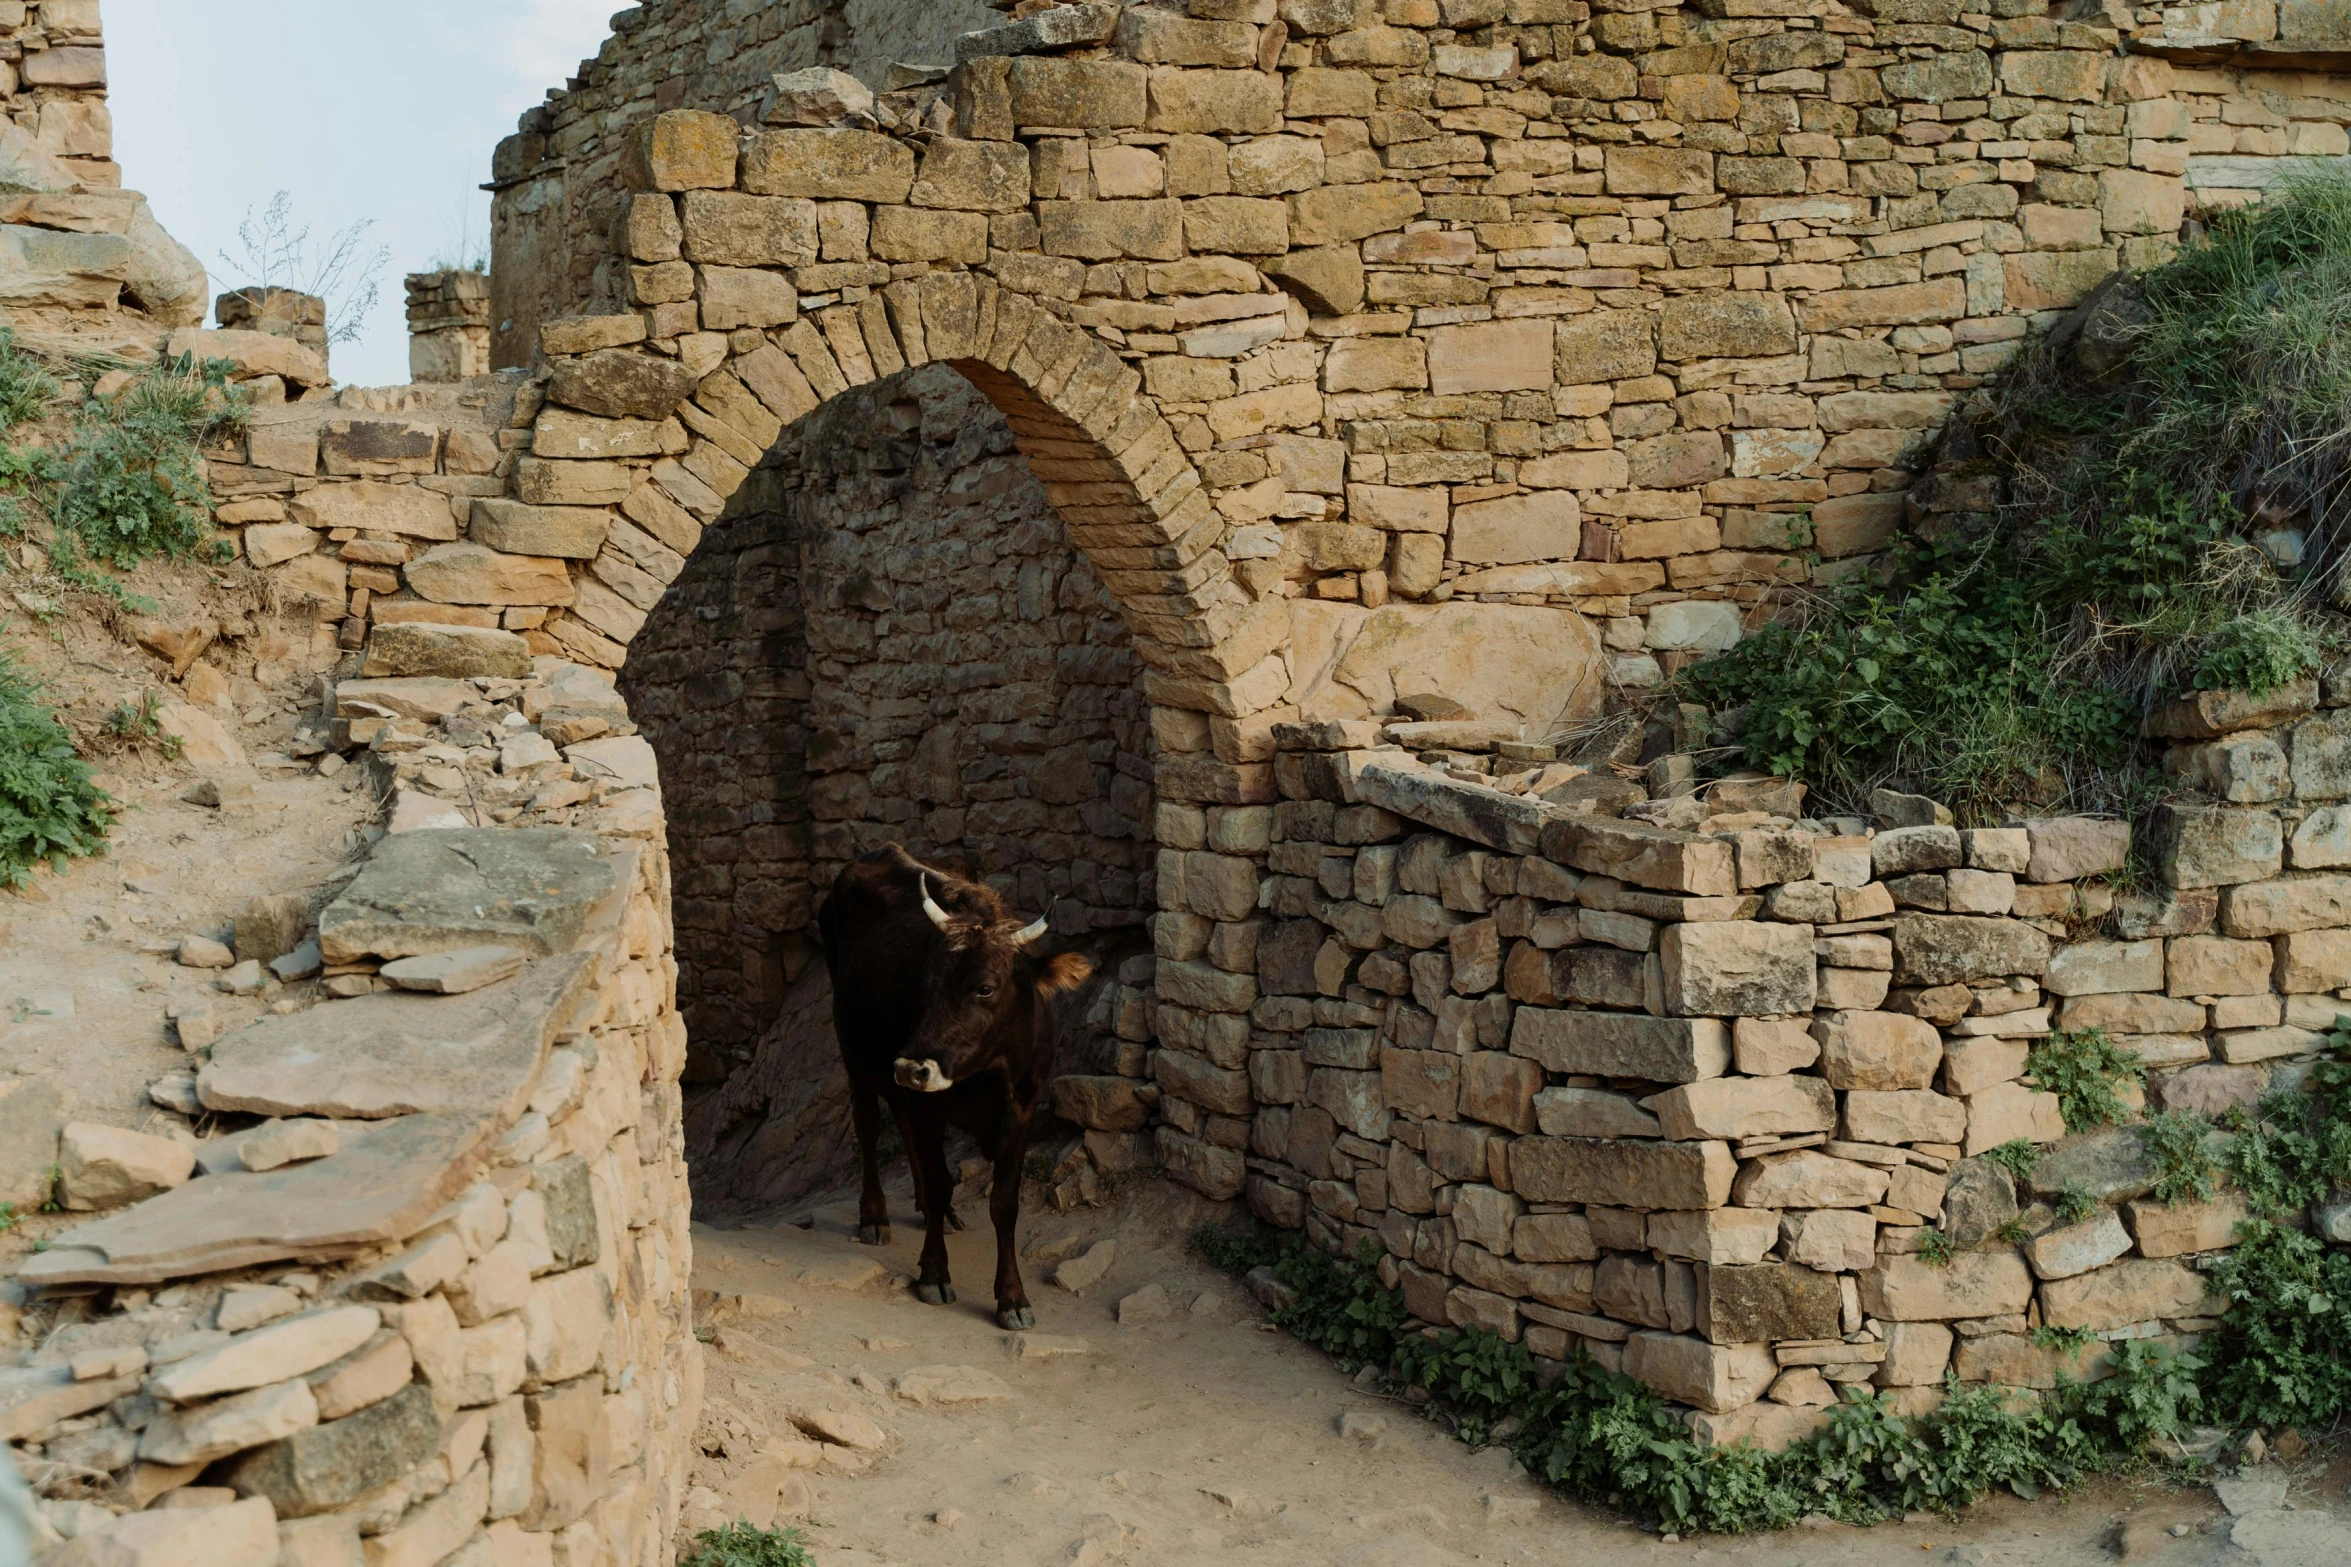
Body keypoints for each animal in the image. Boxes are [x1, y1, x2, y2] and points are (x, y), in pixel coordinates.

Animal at [818, 850, 1090, 1334]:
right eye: (924, 984)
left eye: (985, 987)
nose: (911, 1067)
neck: (987, 1074)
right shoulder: (929, 1103)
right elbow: (942, 1181)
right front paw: (933, 1273)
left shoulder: (1022, 1108)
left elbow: (1004, 1202)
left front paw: (1012, 1298)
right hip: (854, 1054)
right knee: (869, 1127)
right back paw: (875, 1215)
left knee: (902, 1125)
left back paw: (934, 1214)